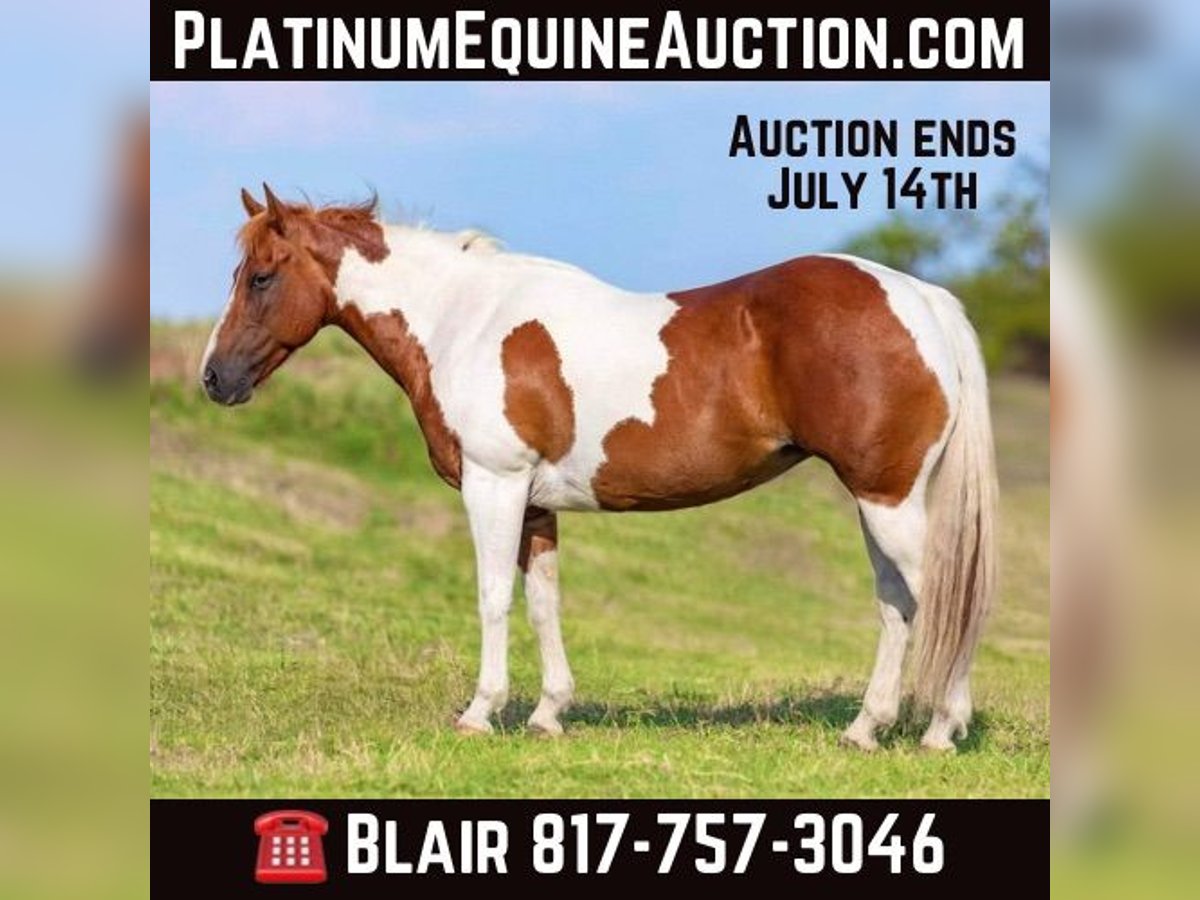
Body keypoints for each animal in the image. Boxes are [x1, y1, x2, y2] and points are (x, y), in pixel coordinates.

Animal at [201, 185, 997, 751]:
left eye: (262, 277)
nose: (214, 379)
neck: (465, 320)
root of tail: (919, 297)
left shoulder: (494, 486)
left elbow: (493, 597)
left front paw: (481, 712)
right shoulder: (535, 503)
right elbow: (543, 602)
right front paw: (548, 713)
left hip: (887, 498)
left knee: (943, 598)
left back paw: (939, 730)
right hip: (880, 501)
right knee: (897, 603)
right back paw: (866, 729)